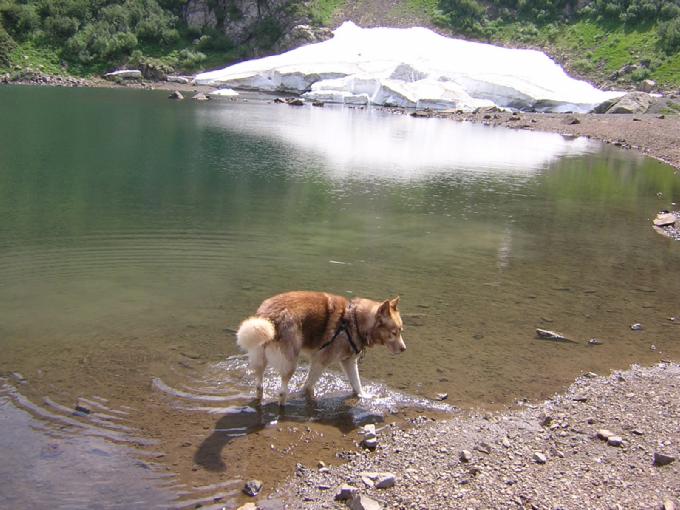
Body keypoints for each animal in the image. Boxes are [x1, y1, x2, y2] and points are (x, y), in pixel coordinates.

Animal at [235, 290, 404, 402]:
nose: (404, 349)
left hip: (259, 358)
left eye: (401, 330)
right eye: (394, 332)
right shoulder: (320, 361)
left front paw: (364, 396)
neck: (355, 321)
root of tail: (268, 317)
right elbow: (308, 386)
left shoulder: (348, 361)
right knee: (282, 391)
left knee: (259, 385)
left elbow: (356, 383)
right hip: (290, 362)